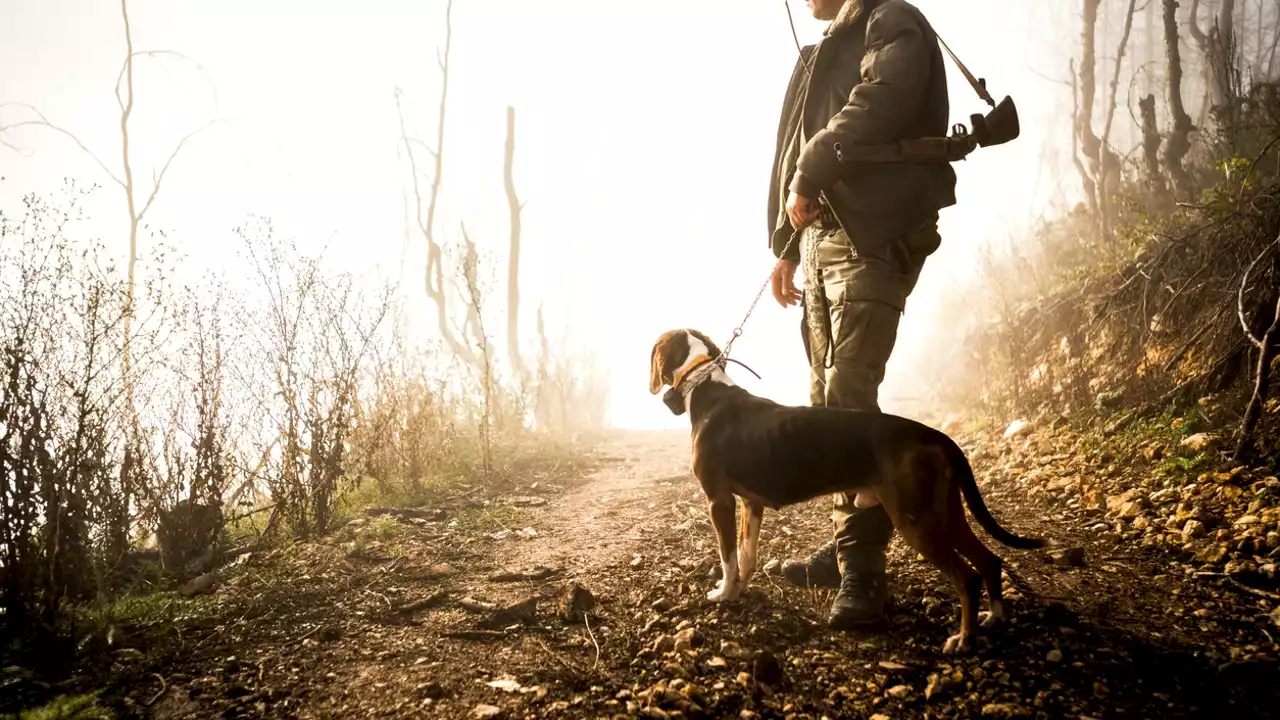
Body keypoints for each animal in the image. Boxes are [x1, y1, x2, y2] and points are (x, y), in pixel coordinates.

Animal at [650, 327, 1049, 653]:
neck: (706, 387)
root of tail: (932, 434)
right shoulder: (751, 504)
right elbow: (746, 556)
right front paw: (740, 589)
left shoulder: (719, 502)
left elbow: (728, 557)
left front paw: (723, 593)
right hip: (945, 512)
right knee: (989, 561)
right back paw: (994, 618)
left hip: (914, 519)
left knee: (967, 578)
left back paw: (964, 640)